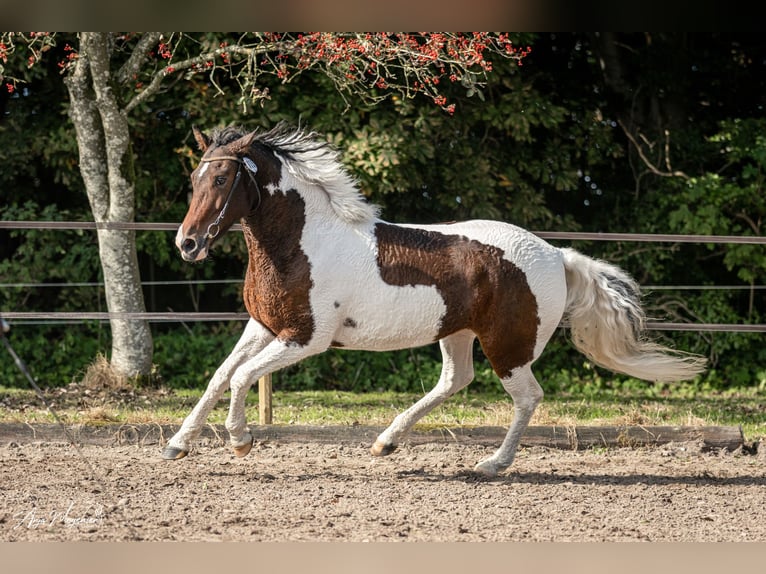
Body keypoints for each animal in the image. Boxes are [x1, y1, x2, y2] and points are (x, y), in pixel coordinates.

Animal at [162, 122, 708, 476]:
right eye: (194, 178)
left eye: (222, 178)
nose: (187, 244)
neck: (303, 242)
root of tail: (557, 254)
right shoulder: (264, 326)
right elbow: (220, 376)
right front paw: (176, 445)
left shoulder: (305, 339)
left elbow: (240, 377)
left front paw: (241, 442)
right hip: (458, 334)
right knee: (455, 380)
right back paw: (386, 442)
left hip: (507, 346)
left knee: (527, 396)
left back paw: (491, 464)